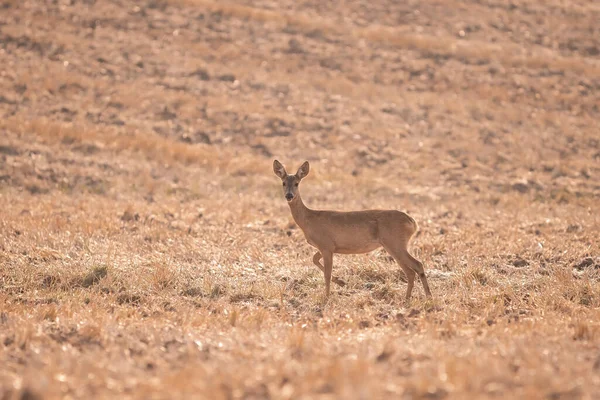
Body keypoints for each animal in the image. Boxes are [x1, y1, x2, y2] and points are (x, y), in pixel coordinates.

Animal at [272, 161, 432, 302]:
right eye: (283, 183)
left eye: (297, 183)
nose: (289, 195)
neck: (309, 219)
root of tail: (412, 222)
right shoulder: (328, 247)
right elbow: (314, 259)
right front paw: (341, 282)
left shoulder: (326, 245)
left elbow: (327, 273)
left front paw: (327, 297)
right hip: (395, 244)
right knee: (412, 270)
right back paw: (413, 297)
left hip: (395, 243)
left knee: (415, 266)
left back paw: (424, 297)